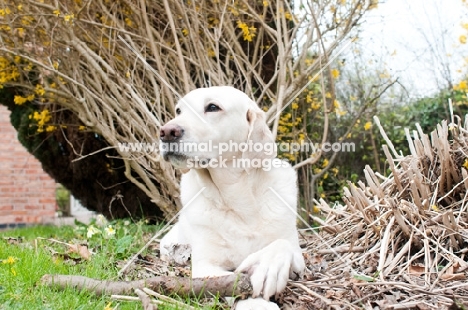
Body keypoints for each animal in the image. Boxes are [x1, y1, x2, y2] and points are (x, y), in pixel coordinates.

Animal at [159, 86, 306, 308]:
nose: (167, 132)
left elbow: (282, 244)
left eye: (213, 107)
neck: (238, 202)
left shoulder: (299, 257)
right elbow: (233, 283)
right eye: (178, 110)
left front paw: (268, 267)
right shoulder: (205, 266)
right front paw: (257, 303)